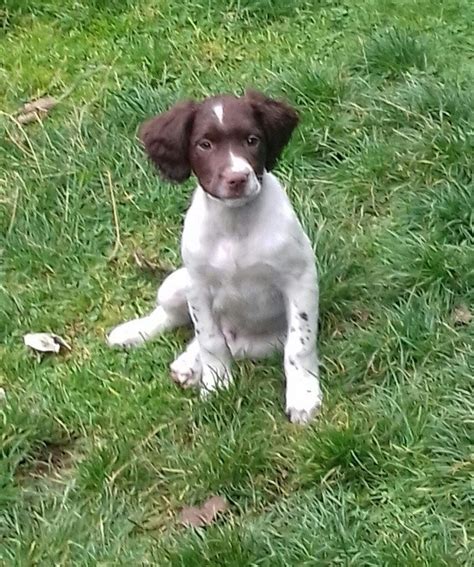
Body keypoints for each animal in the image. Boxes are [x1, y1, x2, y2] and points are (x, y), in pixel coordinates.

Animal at [108, 91, 322, 424]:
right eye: (204, 145)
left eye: (252, 140)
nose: (237, 178)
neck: (235, 226)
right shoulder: (198, 287)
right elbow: (210, 339)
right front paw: (218, 384)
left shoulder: (300, 280)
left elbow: (299, 346)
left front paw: (303, 396)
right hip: (176, 283)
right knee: (173, 318)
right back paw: (138, 335)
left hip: (260, 343)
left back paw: (189, 363)